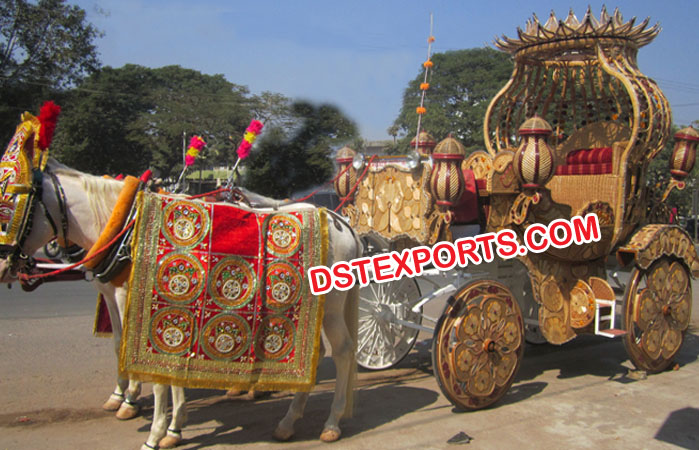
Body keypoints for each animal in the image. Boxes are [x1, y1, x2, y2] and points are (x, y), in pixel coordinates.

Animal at [0, 158, 360, 446]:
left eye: (13, 207)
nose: (5, 265)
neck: (127, 229)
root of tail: (343, 224)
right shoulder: (129, 299)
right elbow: (129, 350)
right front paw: (154, 414)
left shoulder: (145, 302)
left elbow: (156, 373)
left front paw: (157, 426)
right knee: (318, 353)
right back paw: (288, 421)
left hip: (330, 306)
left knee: (343, 351)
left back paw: (331, 422)